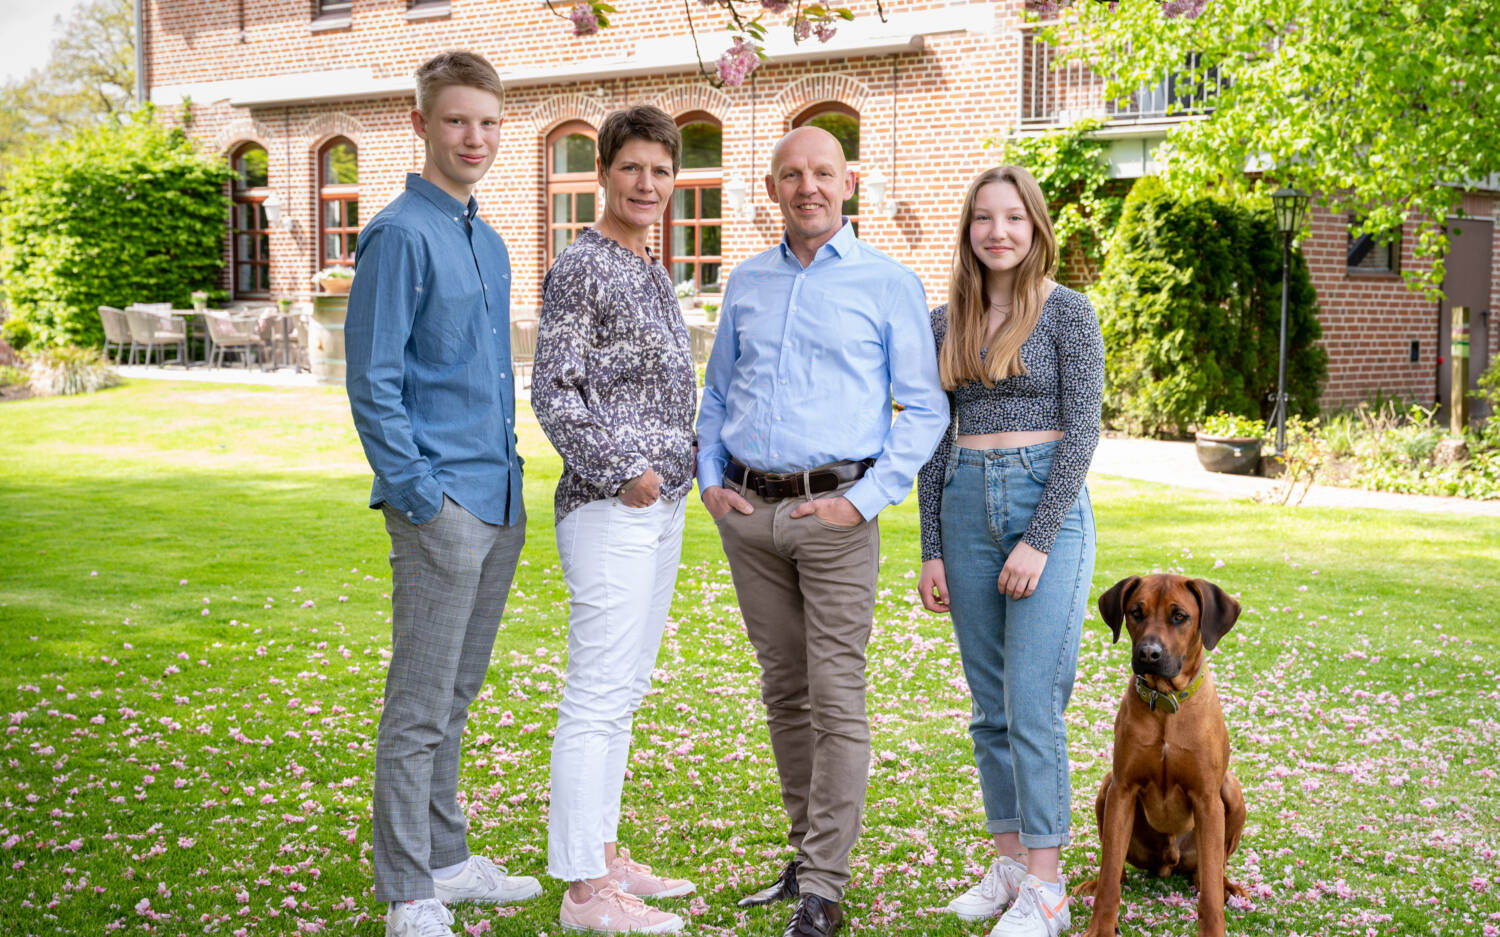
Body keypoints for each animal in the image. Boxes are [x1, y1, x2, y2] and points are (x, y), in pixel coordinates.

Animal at [1086, 572, 1248, 935]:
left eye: (1179, 616)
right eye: (1135, 612)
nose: (1148, 653)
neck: (1165, 702)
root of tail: (1168, 863)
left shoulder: (1207, 799)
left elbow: (1210, 895)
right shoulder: (1122, 789)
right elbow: (1109, 875)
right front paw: (1101, 926)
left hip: (1231, 792)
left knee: (1211, 872)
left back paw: (1228, 886)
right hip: (1107, 788)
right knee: (1114, 870)